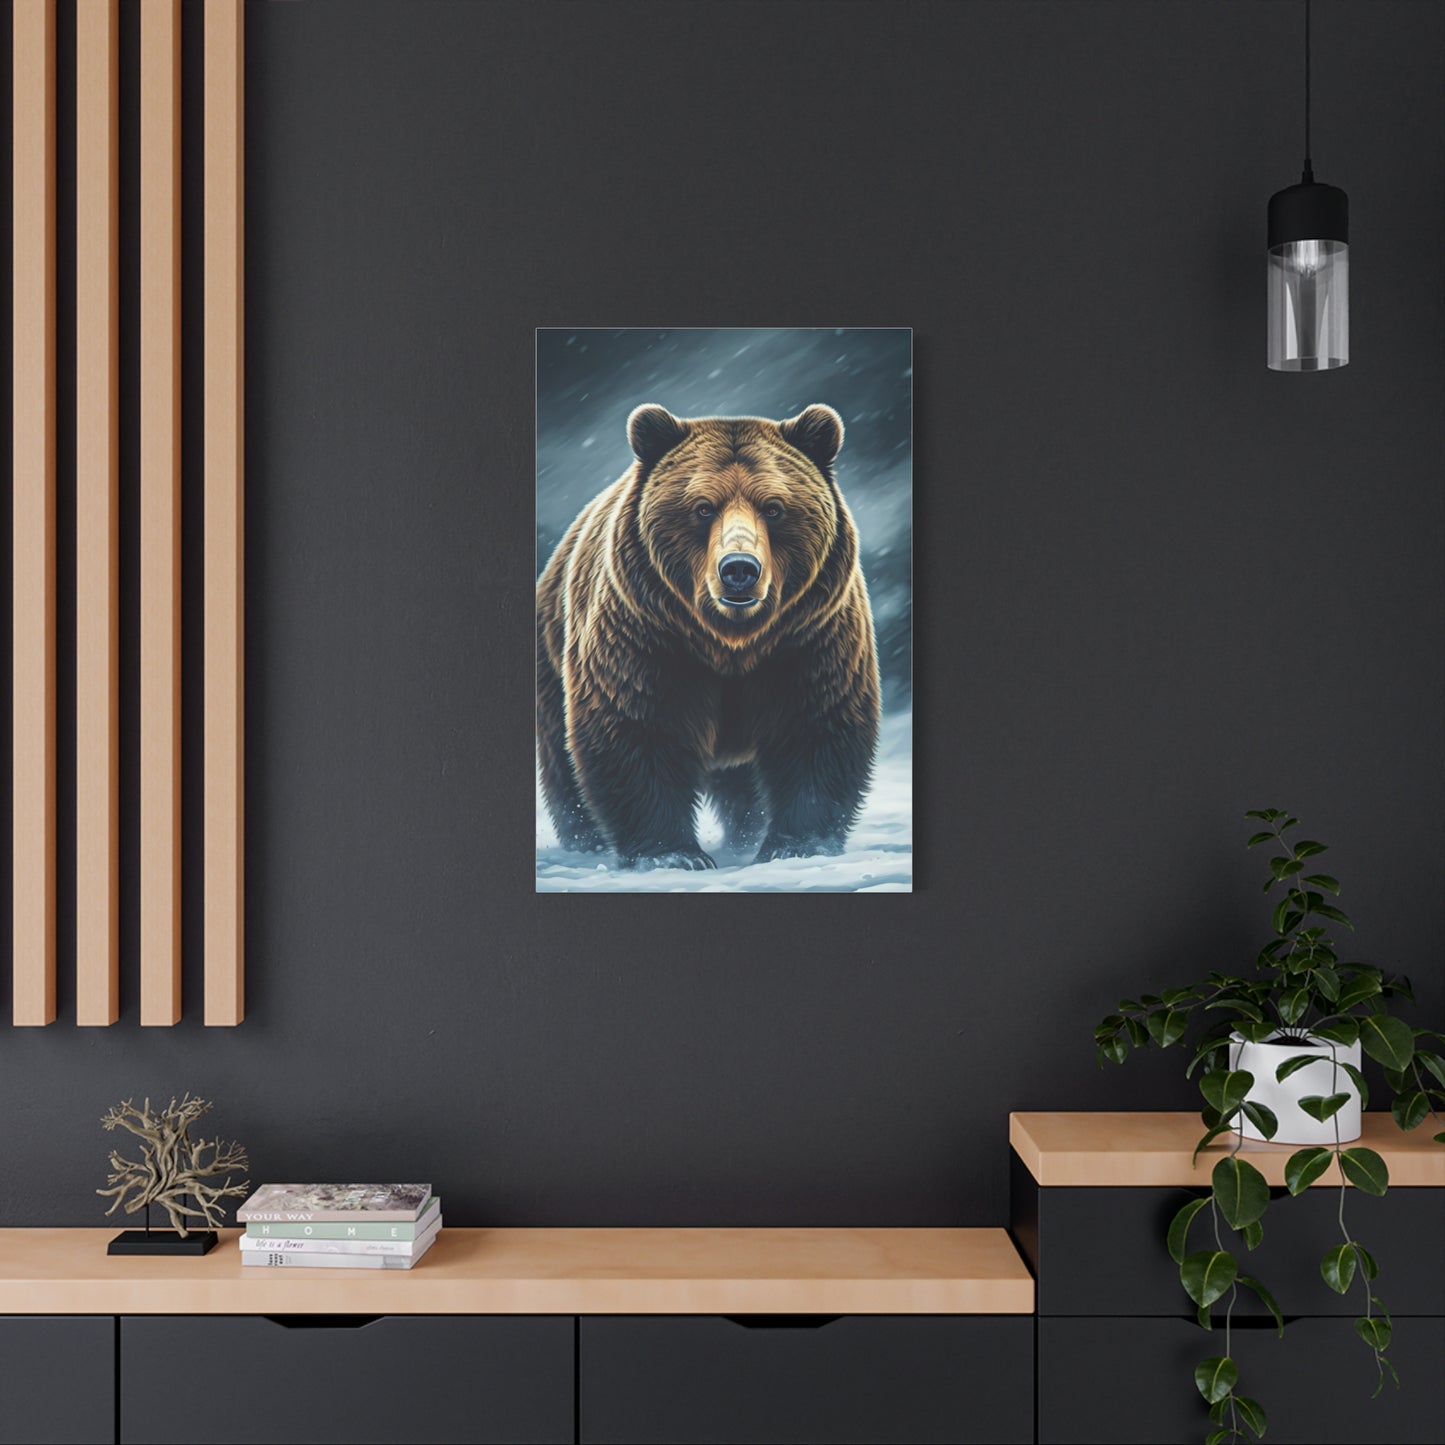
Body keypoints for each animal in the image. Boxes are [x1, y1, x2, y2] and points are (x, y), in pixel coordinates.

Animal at [536, 402, 880, 871]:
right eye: (702, 507)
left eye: (774, 507)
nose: (739, 569)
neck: (729, 642)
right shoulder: (644, 636)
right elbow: (637, 728)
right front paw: (673, 855)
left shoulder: (810, 638)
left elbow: (817, 727)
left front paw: (795, 846)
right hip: (552, 657)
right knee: (563, 762)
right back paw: (585, 842)